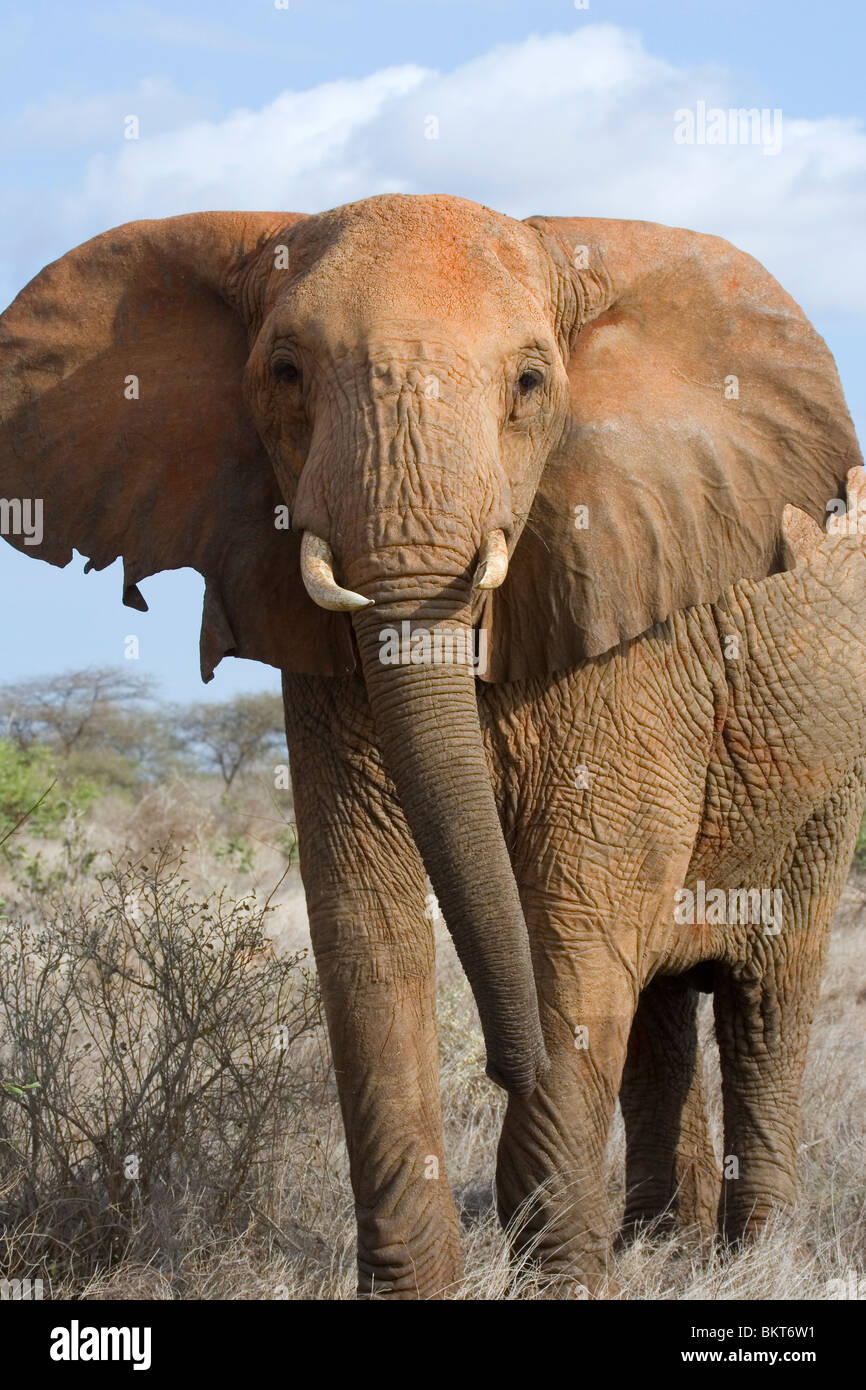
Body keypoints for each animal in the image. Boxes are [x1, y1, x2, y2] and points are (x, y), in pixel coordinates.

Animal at [1, 194, 864, 1299]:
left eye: (531, 383)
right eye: (285, 372)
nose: (502, 1064)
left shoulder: (635, 622)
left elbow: (579, 915)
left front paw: (557, 1277)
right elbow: (364, 915)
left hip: (828, 774)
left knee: (767, 994)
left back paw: (749, 1252)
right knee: (663, 1007)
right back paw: (659, 1242)